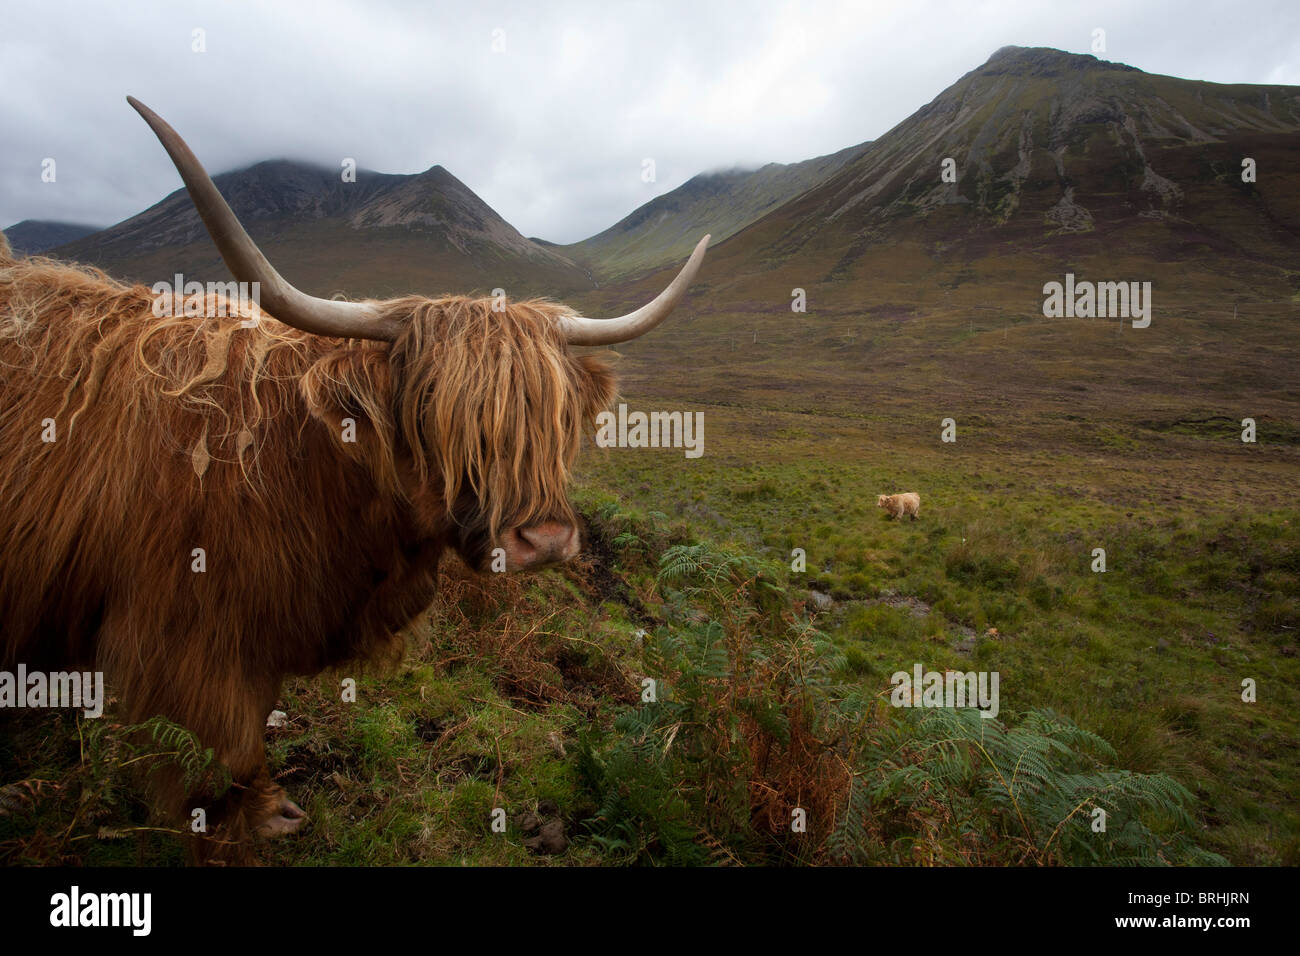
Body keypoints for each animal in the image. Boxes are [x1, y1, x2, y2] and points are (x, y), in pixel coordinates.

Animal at [0, 97, 709, 863]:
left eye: (555, 419)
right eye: (436, 414)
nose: (545, 541)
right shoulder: (185, 638)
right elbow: (222, 751)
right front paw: (255, 821)